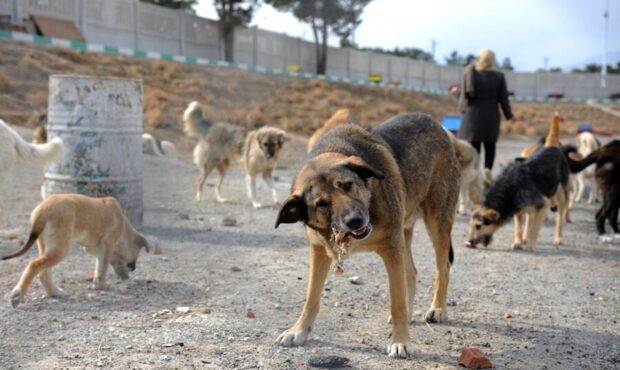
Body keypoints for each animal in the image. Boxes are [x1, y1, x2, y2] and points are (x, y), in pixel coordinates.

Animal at [2, 194, 149, 306]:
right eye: (133, 261)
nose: (133, 268)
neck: (123, 225)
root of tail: (43, 211)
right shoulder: (106, 244)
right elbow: (102, 267)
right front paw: (102, 285)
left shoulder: (92, 248)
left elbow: (100, 264)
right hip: (60, 250)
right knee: (34, 265)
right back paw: (18, 295)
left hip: (47, 247)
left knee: (43, 272)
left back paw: (54, 292)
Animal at [274, 113, 458, 358]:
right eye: (321, 203)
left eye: (347, 185)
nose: (356, 220)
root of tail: (435, 123)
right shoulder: (320, 251)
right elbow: (311, 298)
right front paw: (299, 330)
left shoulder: (391, 248)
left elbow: (396, 302)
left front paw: (401, 341)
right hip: (404, 232)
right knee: (411, 271)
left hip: (437, 223)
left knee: (443, 267)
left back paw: (437, 308)